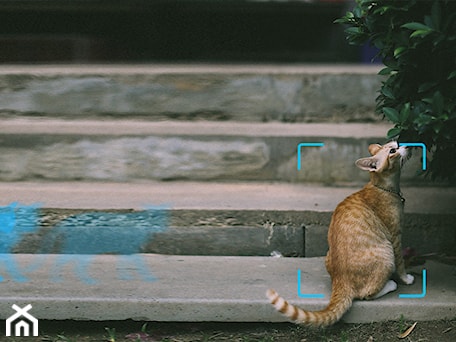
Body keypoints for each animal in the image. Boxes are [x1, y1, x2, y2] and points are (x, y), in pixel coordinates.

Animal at [268, 141, 414, 326]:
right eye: (393, 151)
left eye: (397, 143)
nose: (408, 145)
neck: (385, 187)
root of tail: (340, 280)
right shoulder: (395, 236)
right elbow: (401, 263)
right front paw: (406, 279)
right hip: (386, 254)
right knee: (366, 294)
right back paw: (390, 284)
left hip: (328, 254)